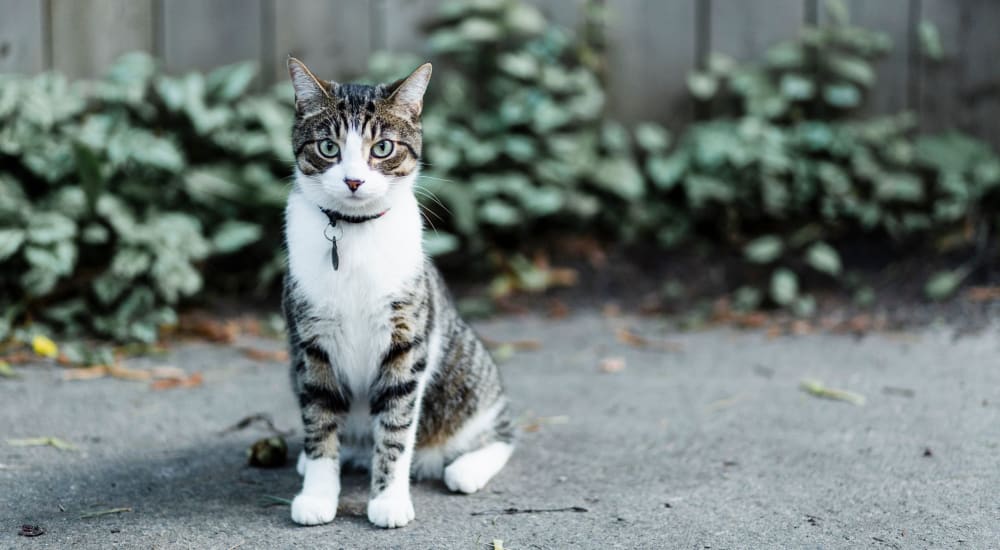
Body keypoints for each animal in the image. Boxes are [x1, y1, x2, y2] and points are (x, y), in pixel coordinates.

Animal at [282, 57, 516, 532]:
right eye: (328, 148)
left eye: (383, 148)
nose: (354, 181)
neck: (354, 234)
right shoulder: (310, 343)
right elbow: (319, 420)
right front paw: (318, 494)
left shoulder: (407, 339)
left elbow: (395, 426)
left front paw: (388, 500)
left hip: (466, 378)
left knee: (500, 432)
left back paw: (466, 468)